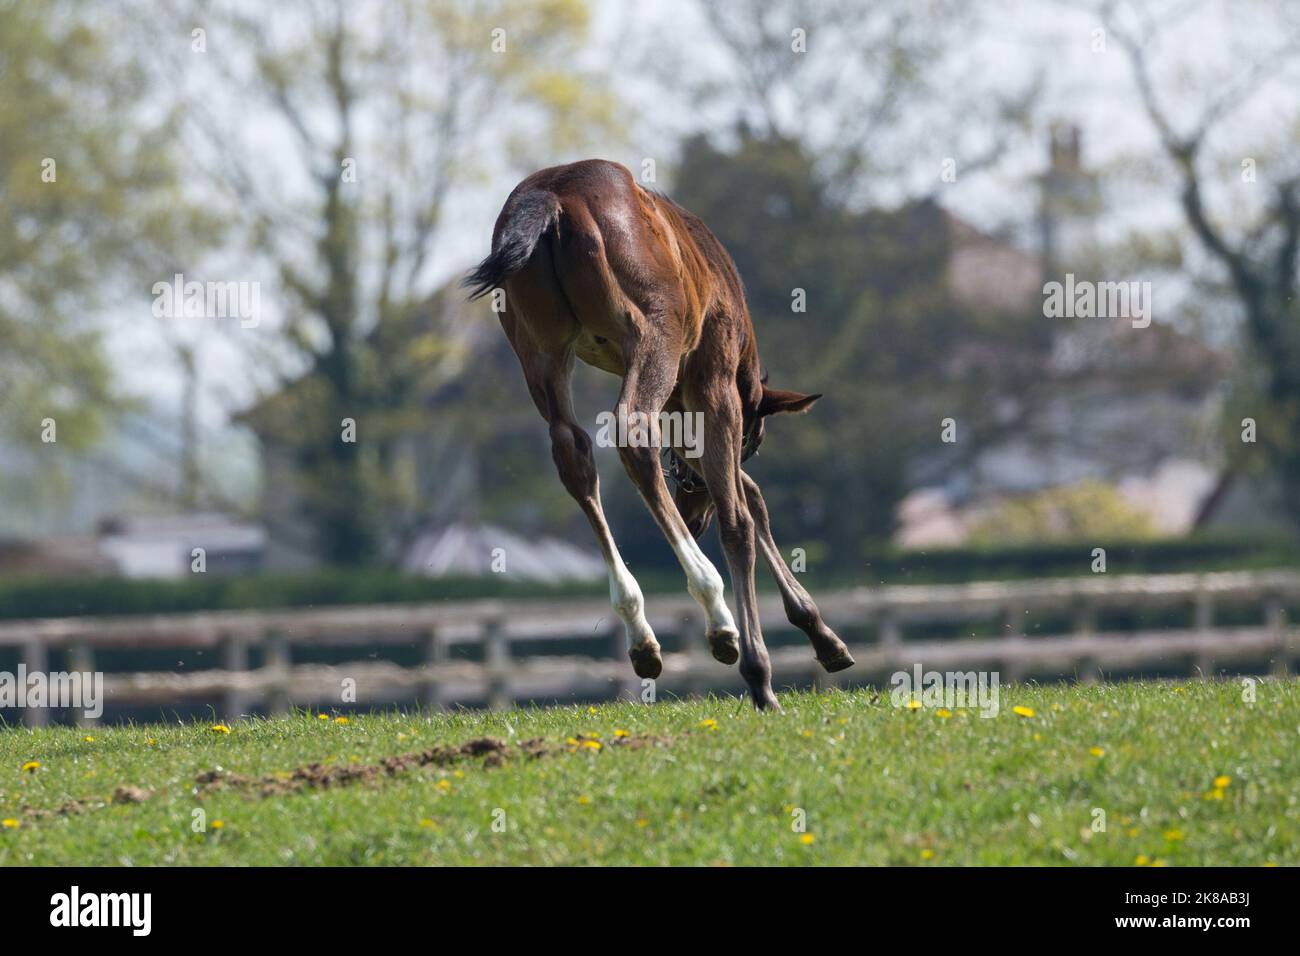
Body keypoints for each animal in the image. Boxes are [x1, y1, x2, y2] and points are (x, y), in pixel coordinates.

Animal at [465, 159, 853, 710]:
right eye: (755, 441)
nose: (693, 516)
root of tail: (551, 197)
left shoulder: (684, 406)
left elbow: (746, 494)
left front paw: (822, 635)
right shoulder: (712, 384)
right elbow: (742, 515)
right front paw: (762, 673)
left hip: (538, 348)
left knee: (573, 450)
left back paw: (640, 631)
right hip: (653, 332)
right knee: (631, 430)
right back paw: (716, 615)